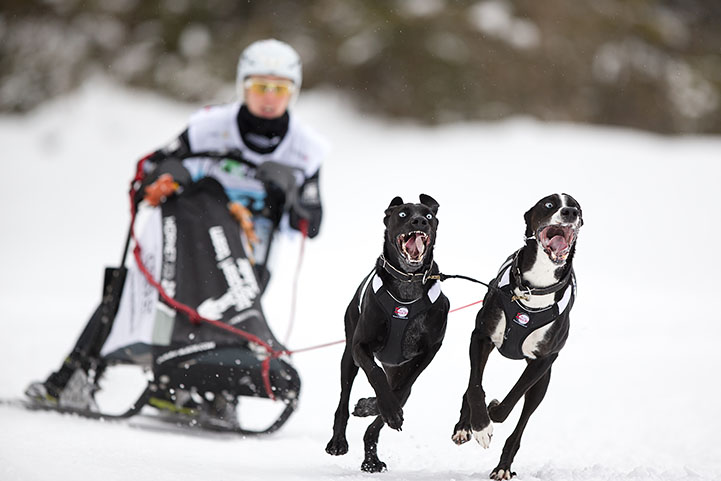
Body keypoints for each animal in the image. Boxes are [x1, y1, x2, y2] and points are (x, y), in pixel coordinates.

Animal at [328, 193, 450, 470]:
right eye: (402, 214)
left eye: (429, 215)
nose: (419, 221)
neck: (408, 283)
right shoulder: (360, 346)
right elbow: (375, 374)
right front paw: (382, 408)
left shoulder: (429, 351)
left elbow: (401, 390)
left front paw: (374, 407)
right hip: (348, 357)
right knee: (343, 400)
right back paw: (338, 441)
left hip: (396, 369)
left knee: (381, 417)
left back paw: (371, 457)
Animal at [452, 193, 584, 478]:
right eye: (549, 205)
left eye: (577, 208)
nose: (569, 212)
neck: (534, 289)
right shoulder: (481, 337)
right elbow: (475, 387)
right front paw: (480, 425)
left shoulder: (543, 360)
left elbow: (509, 403)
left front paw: (492, 411)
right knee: (471, 385)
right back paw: (464, 426)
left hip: (542, 383)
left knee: (521, 421)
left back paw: (503, 467)